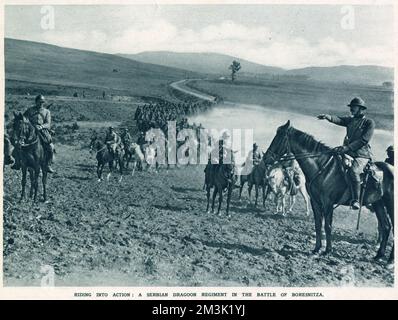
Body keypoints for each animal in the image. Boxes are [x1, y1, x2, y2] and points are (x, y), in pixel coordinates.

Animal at [262, 121, 394, 264]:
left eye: (279, 137)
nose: (266, 158)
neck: (322, 168)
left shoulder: (328, 203)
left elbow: (328, 226)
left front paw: (327, 250)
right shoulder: (315, 202)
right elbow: (318, 225)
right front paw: (316, 249)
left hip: (390, 205)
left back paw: (391, 260)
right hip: (378, 203)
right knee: (386, 227)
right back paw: (379, 255)